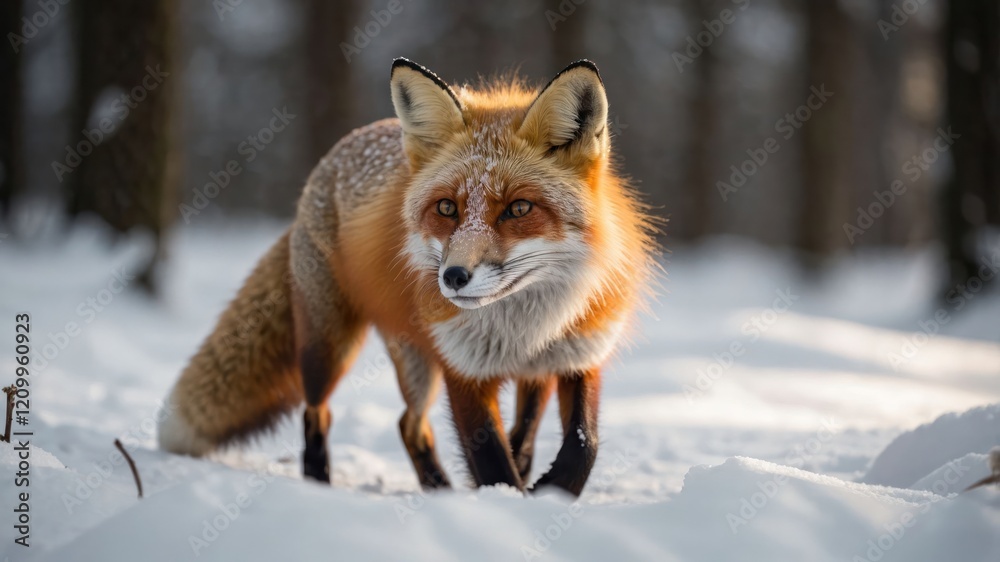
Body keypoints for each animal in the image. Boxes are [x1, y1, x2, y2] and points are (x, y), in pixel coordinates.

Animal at [157, 58, 657, 496]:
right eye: (447, 208)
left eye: (519, 209)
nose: (453, 277)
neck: (525, 329)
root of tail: (328, 162)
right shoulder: (463, 368)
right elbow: (493, 463)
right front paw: (511, 503)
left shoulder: (577, 355)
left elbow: (580, 445)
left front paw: (546, 489)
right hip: (337, 351)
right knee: (324, 414)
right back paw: (323, 485)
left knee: (422, 425)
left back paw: (444, 489)